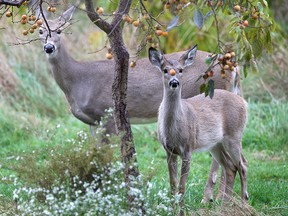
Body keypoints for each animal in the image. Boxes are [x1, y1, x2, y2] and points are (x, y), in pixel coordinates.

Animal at [38, 5, 241, 203]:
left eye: (60, 30)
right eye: (40, 30)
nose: (49, 47)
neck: (79, 80)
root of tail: (234, 66)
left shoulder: (107, 113)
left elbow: (107, 158)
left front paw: (105, 193)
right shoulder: (93, 122)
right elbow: (94, 154)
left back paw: (212, 198)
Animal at [148, 46, 248, 214]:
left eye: (181, 70)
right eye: (165, 70)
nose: (174, 82)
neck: (173, 130)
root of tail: (244, 103)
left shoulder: (187, 148)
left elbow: (182, 186)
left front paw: (182, 212)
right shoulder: (169, 150)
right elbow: (172, 184)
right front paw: (172, 210)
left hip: (234, 135)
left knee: (243, 165)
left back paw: (243, 203)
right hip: (215, 144)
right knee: (230, 166)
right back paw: (224, 205)